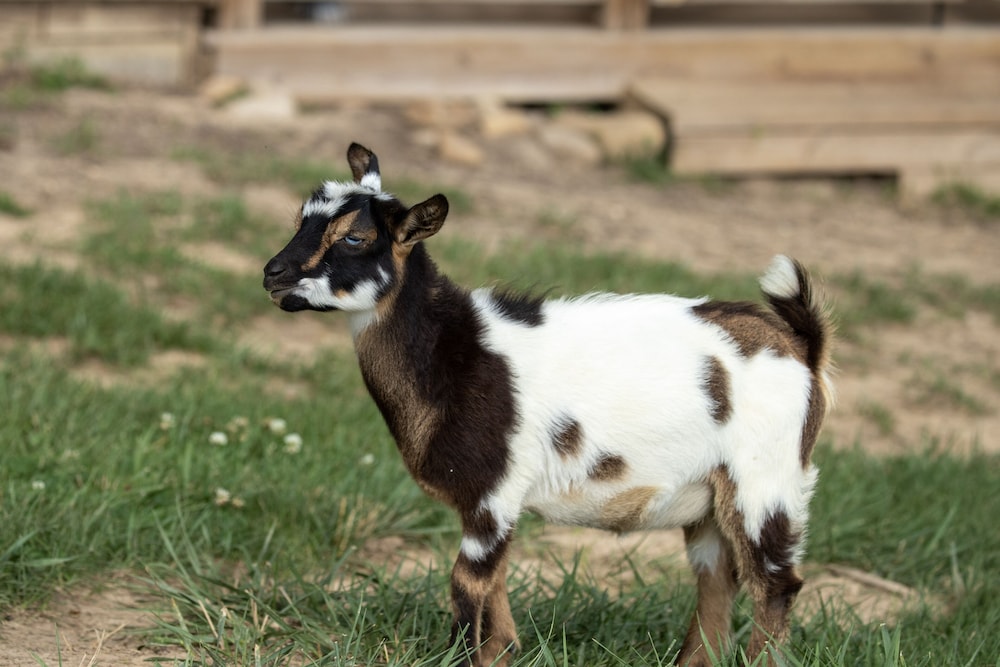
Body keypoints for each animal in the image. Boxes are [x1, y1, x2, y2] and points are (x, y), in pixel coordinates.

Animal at [262, 145, 832, 667]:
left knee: (776, 584)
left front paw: (466, 656)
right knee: (718, 579)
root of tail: (802, 346)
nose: (273, 274)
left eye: (355, 237)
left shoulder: (494, 489)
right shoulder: (491, 502)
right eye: (301, 218)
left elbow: (467, 583)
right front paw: (503, 652)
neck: (455, 350)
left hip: (765, 481)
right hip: (713, 498)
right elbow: (493, 585)